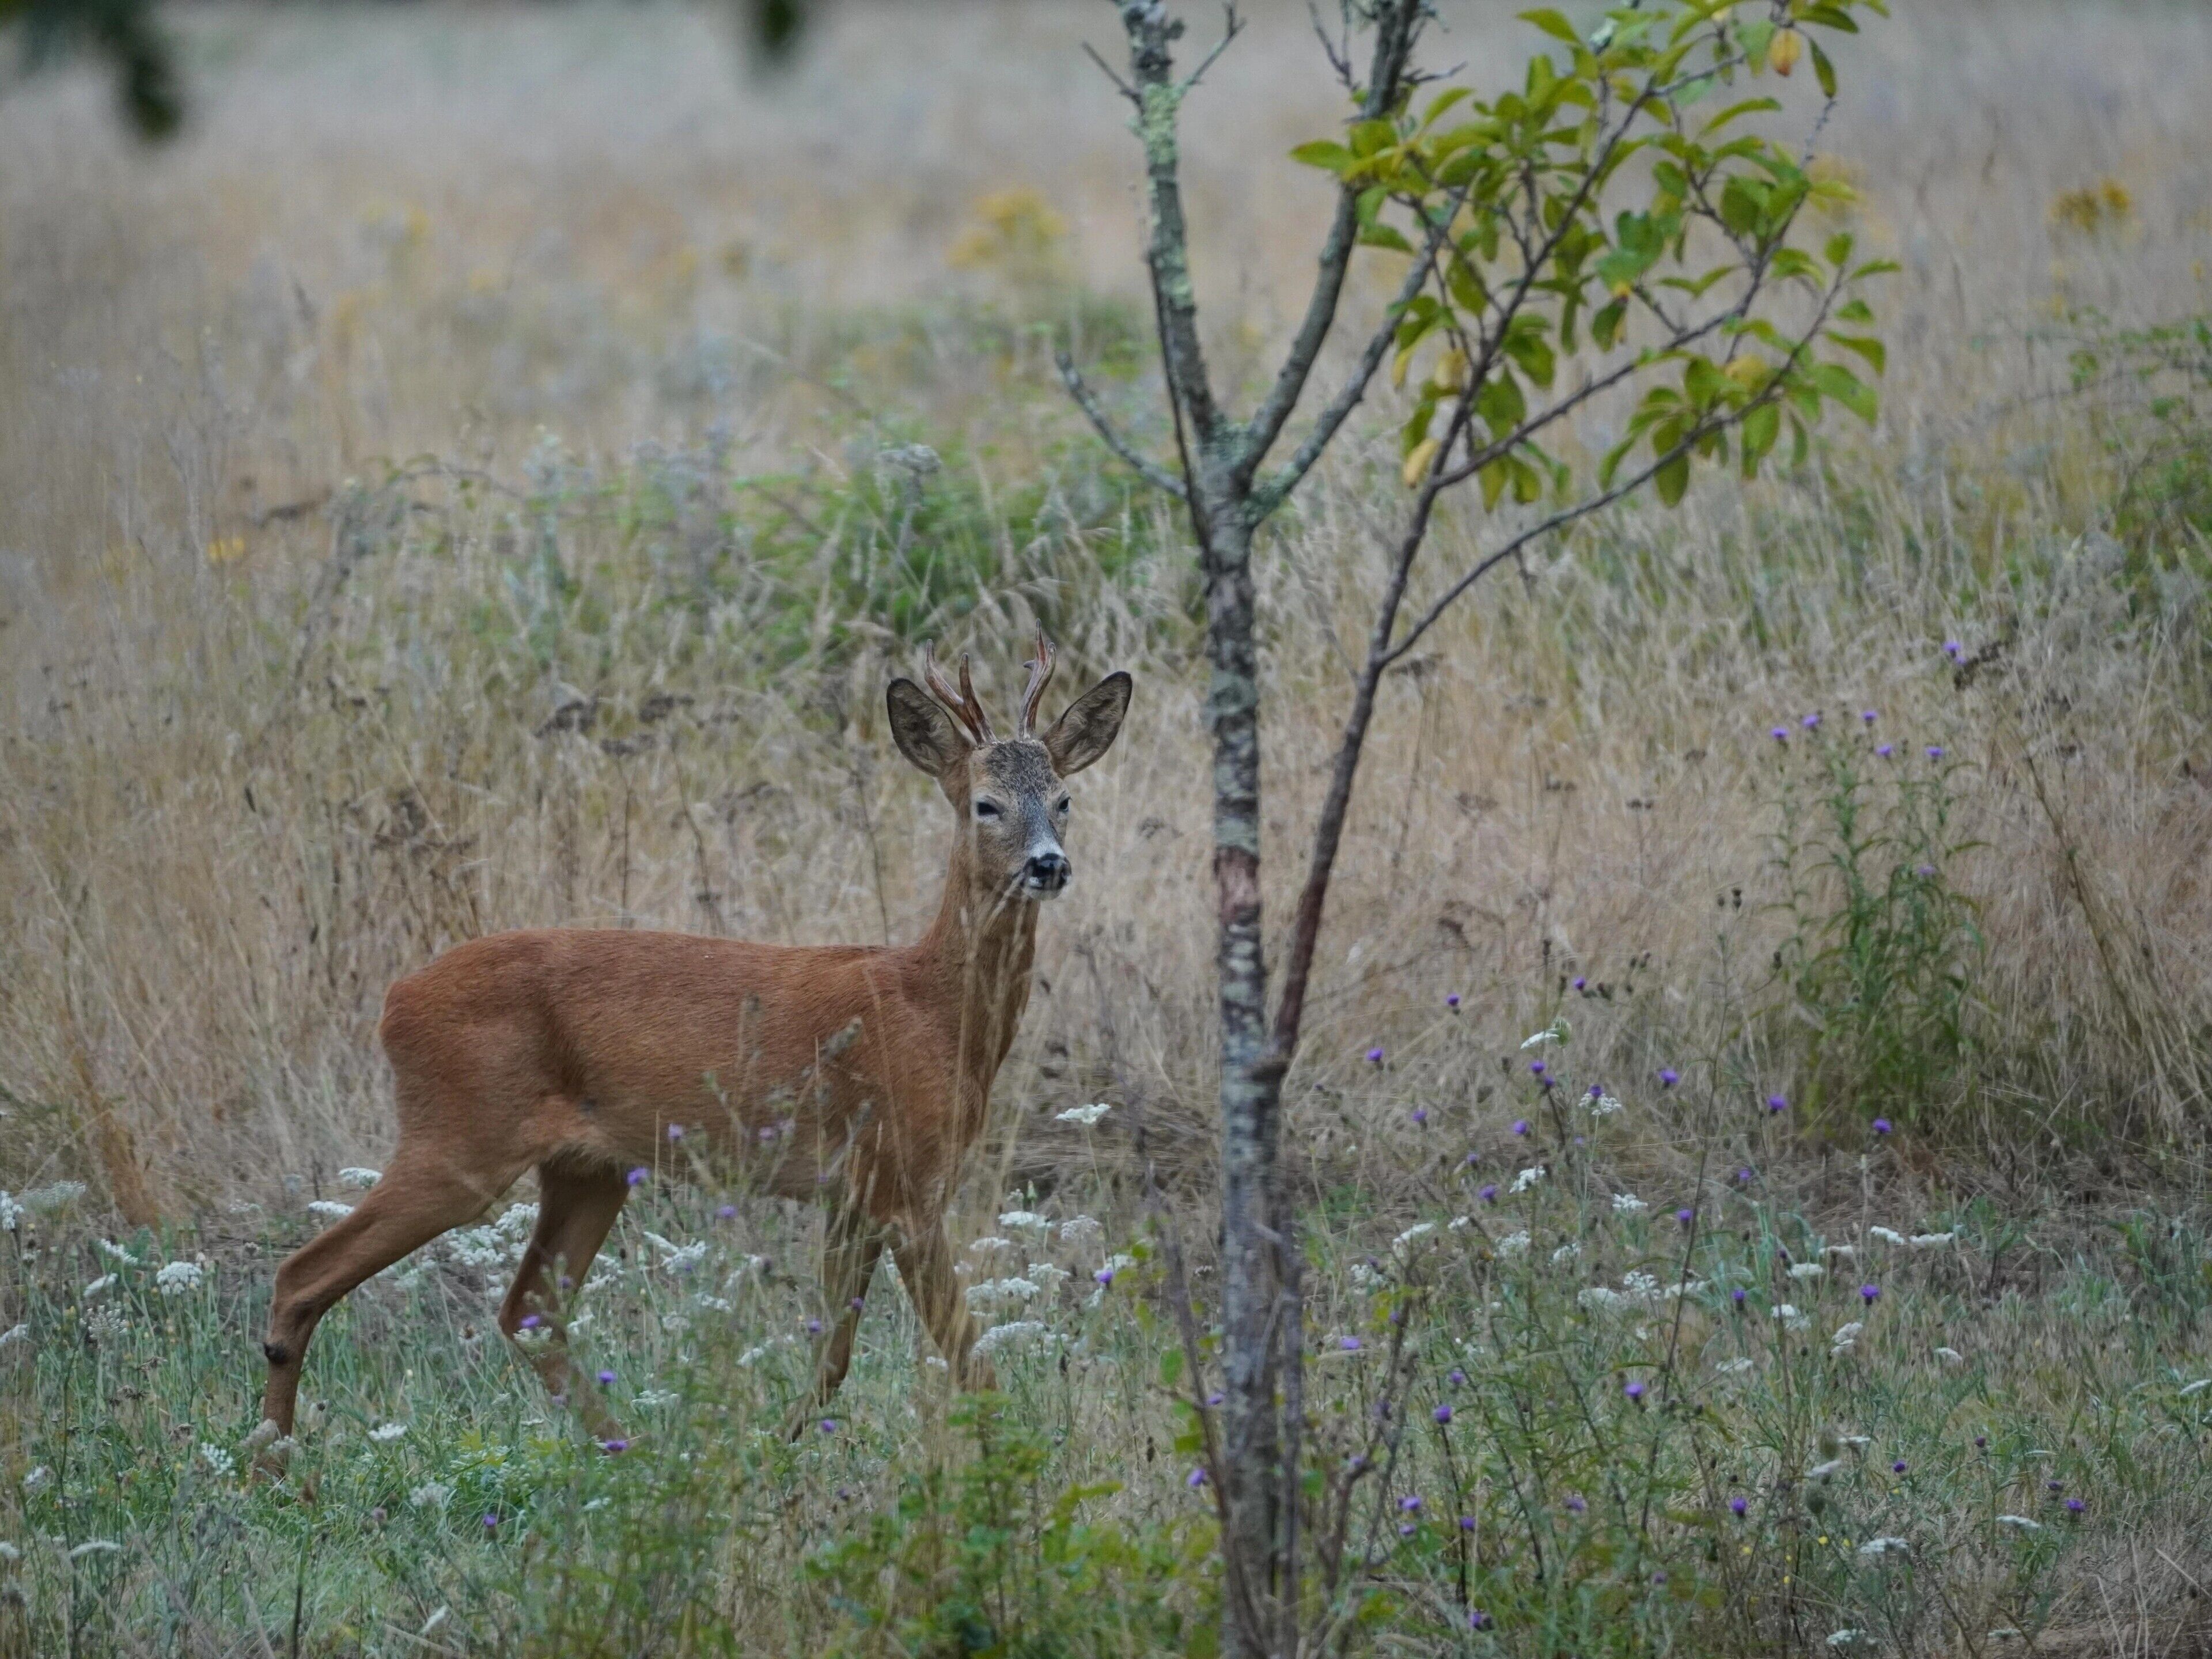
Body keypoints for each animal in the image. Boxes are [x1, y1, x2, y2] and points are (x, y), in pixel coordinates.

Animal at [253, 633, 1131, 1456]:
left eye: (1064, 798)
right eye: (986, 804)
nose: (1049, 866)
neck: (934, 1009)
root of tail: (394, 1002)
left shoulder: (853, 1192)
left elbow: (835, 1352)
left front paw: (779, 1445)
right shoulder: (905, 1180)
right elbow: (968, 1356)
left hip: (587, 1169)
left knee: (528, 1308)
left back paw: (628, 1453)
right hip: (460, 1135)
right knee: (303, 1274)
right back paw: (276, 1472)